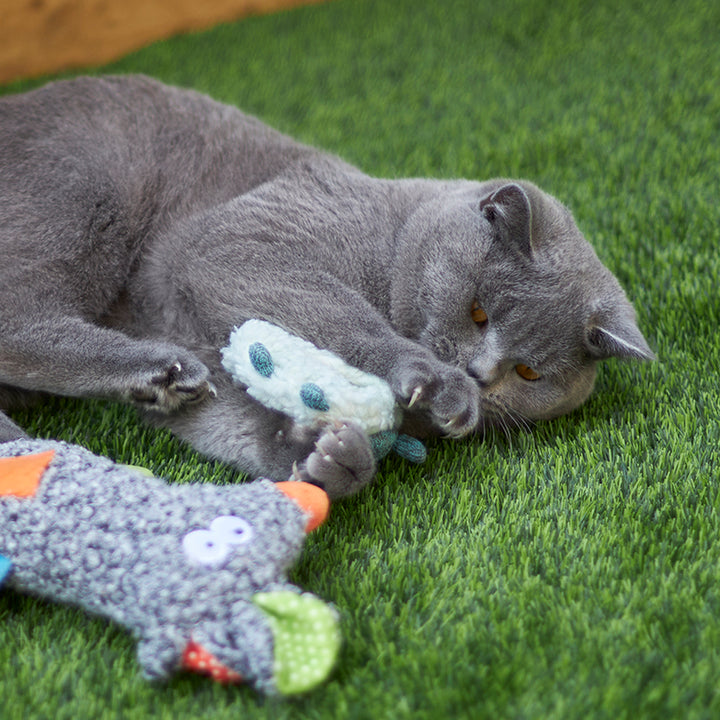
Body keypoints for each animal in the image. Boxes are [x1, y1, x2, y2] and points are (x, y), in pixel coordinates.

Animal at [0, 76, 652, 498]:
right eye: (477, 312)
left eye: (529, 374)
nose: (478, 375)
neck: (392, 238)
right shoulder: (242, 244)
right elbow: (348, 319)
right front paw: (435, 385)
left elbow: (229, 419)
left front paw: (329, 459)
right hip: (85, 192)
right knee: (17, 323)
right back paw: (154, 371)